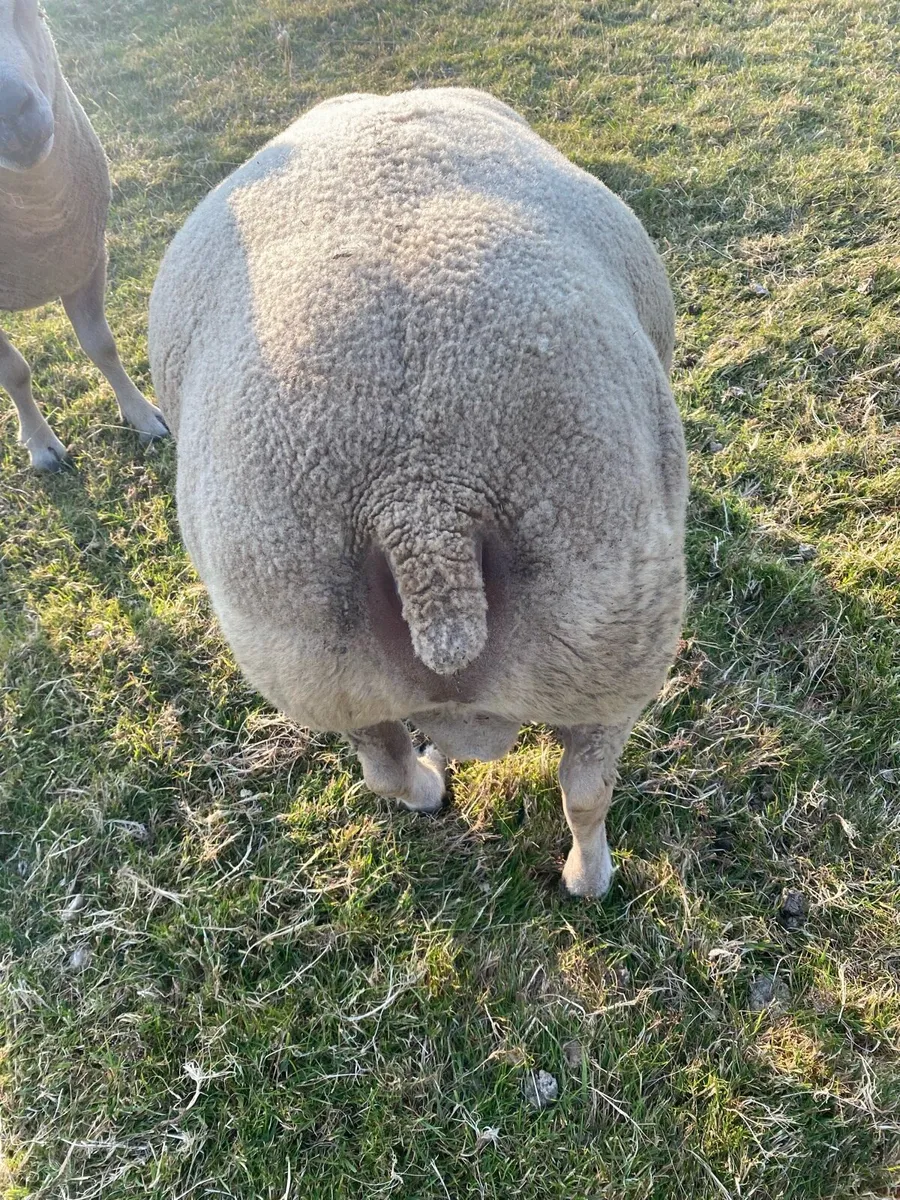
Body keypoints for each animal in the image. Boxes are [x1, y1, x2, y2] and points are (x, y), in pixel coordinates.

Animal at [0, 0, 166, 470]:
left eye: (28, 10)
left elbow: (101, 345)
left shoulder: (86, 258)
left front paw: (144, 415)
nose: (10, 109)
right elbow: (14, 371)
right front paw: (41, 445)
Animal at [149, 88, 688, 897]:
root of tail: (423, 502)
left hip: (318, 663)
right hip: (613, 645)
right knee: (587, 790)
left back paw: (431, 785)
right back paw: (588, 877)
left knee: (386, 769)